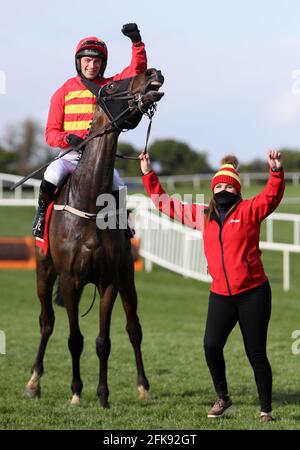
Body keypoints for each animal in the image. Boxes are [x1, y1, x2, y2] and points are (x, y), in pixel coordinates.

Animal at [26, 67, 164, 408]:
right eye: (112, 87)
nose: (153, 72)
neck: (88, 201)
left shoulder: (108, 280)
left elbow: (104, 341)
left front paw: (102, 395)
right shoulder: (70, 279)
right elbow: (75, 339)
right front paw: (76, 391)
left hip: (127, 276)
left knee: (134, 327)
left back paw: (143, 386)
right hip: (44, 271)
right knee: (46, 321)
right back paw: (34, 381)